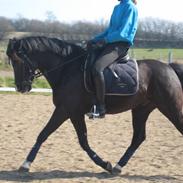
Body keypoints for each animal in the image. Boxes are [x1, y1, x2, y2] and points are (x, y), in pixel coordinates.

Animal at [6, 36, 183, 174]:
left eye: (16, 60)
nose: (20, 87)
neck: (66, 69)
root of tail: (169, 67)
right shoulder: (73, 113)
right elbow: (81, 140)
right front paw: (107, 165)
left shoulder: (66, 110)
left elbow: (46, 134)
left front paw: (26, 164)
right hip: (141, 109)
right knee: (138, 137)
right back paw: (118, 166)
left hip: (170, 107)